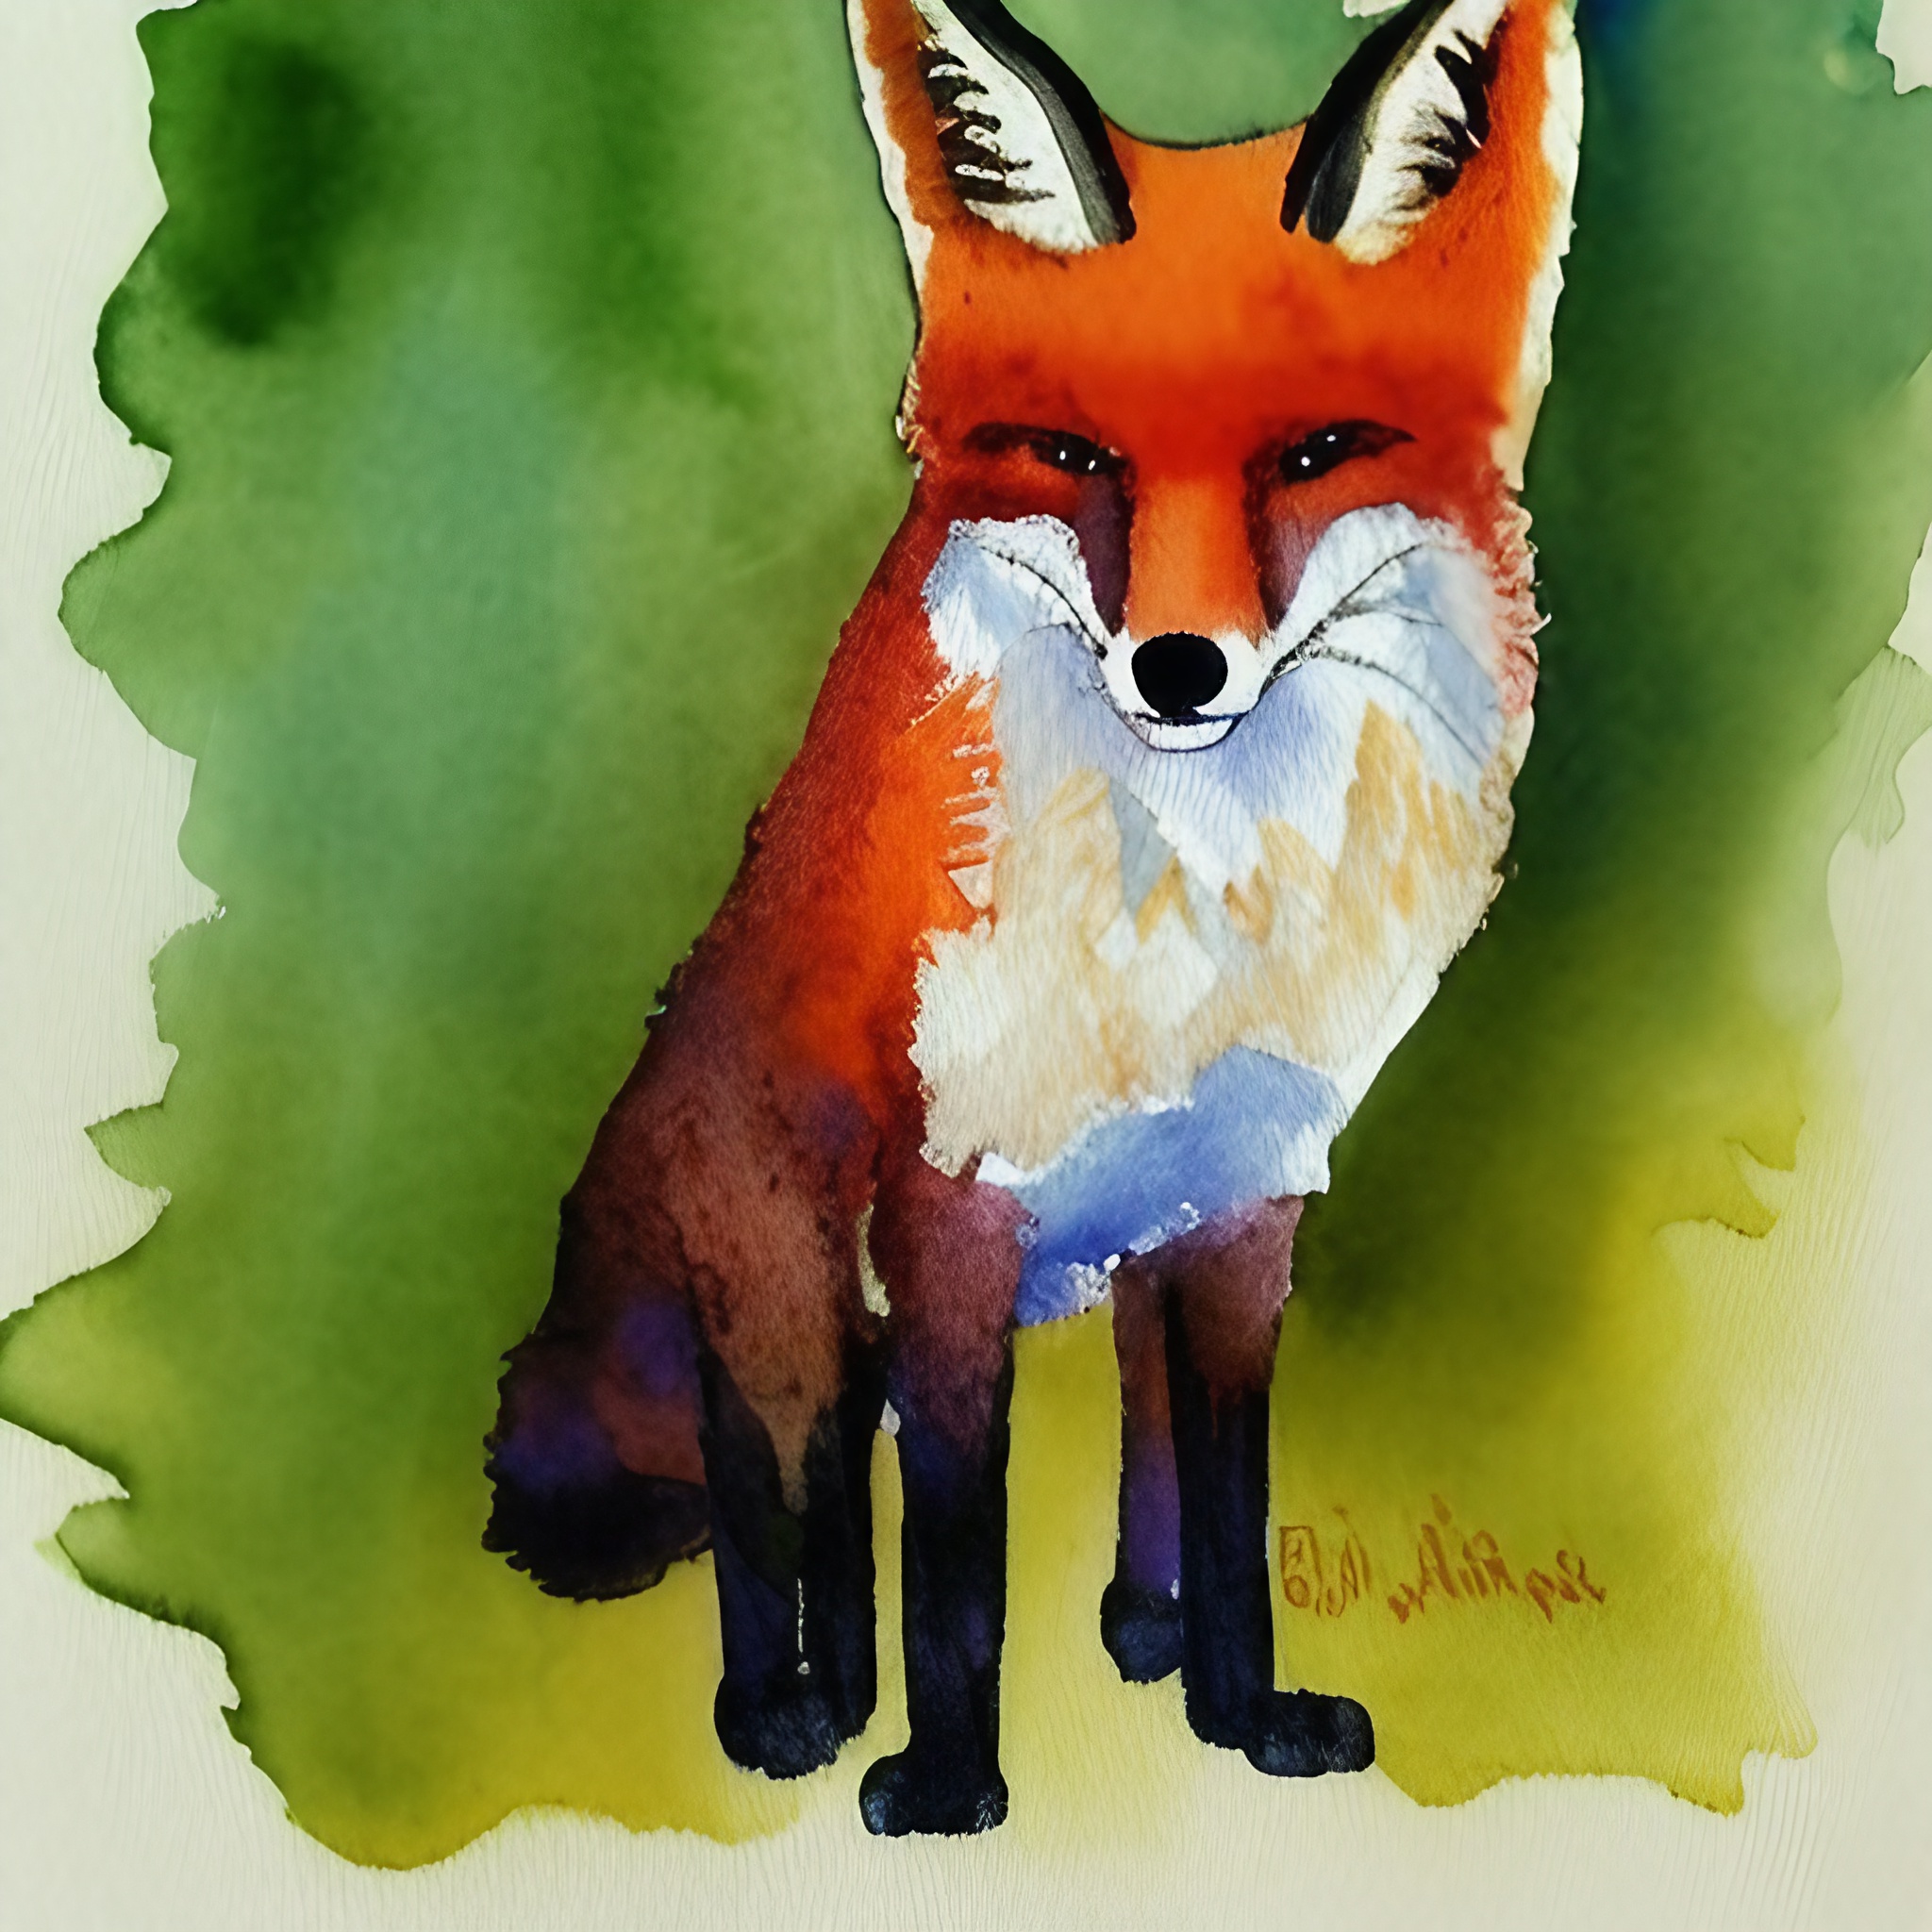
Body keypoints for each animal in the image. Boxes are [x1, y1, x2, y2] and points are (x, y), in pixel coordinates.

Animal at [484, 0, 1581, 1838]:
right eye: (1075, 459)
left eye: (1311, 453)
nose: (1179, 667)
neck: (1196, 913)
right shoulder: (951, 1196)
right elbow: (958, 1556)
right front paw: (944, 1785)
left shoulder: (1243, 1193)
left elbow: (1224, 1500)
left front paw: (1239, 1710)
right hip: (789, 1301)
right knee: (768, 1502)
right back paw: (782, 1714)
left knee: (886, 1509)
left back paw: (1038, 1649)